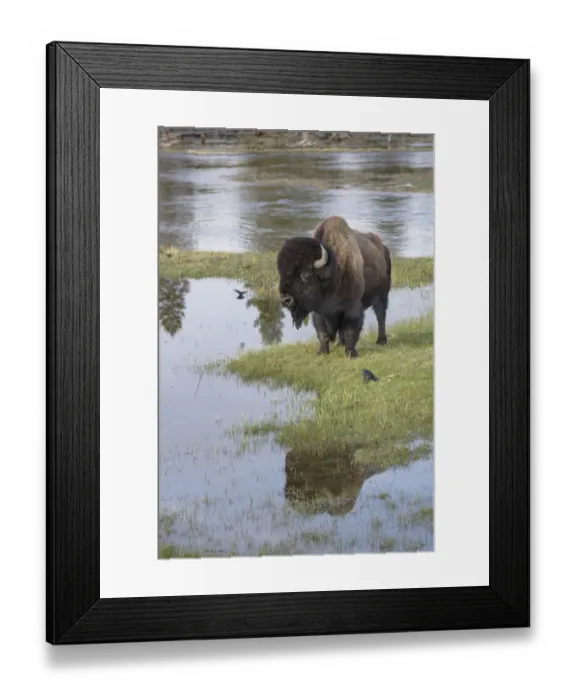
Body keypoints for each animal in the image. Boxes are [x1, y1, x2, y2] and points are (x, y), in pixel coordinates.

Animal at [277, 215, 392, 358]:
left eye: (306, 275)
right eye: (280, 273)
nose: (285, 299)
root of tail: (384, 248)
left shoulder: (352, 308)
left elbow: (349, 331)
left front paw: (351, 353)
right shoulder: (319, 312)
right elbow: (323, 333)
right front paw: (322, 352)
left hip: (382, 295)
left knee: (381, 316)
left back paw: (381, 340)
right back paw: (339, 344)